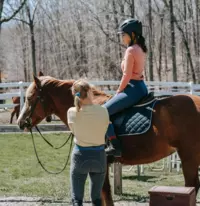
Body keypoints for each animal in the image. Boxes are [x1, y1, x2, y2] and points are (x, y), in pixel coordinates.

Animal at [17, 75, 200, 205]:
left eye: (30, 98)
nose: (20, 122)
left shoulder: (100, 163)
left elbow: (104, 195)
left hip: (189, 155)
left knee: (192, 185)